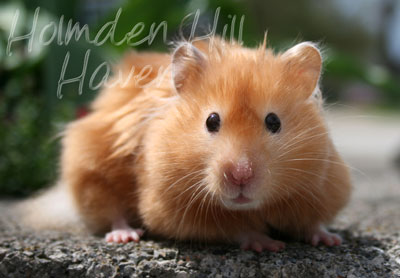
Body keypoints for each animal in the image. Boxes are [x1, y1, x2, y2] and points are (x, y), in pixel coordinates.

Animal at [58, 38, 350, 253]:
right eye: (211, 120)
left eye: (274, 121)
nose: (240, 175)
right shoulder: (175, 211)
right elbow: (236, 228)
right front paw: (268, 245)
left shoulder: (320, 186)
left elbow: (313, 222)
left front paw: (331, 240)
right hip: (91, 172)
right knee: (109, 211)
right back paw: (125, 235)